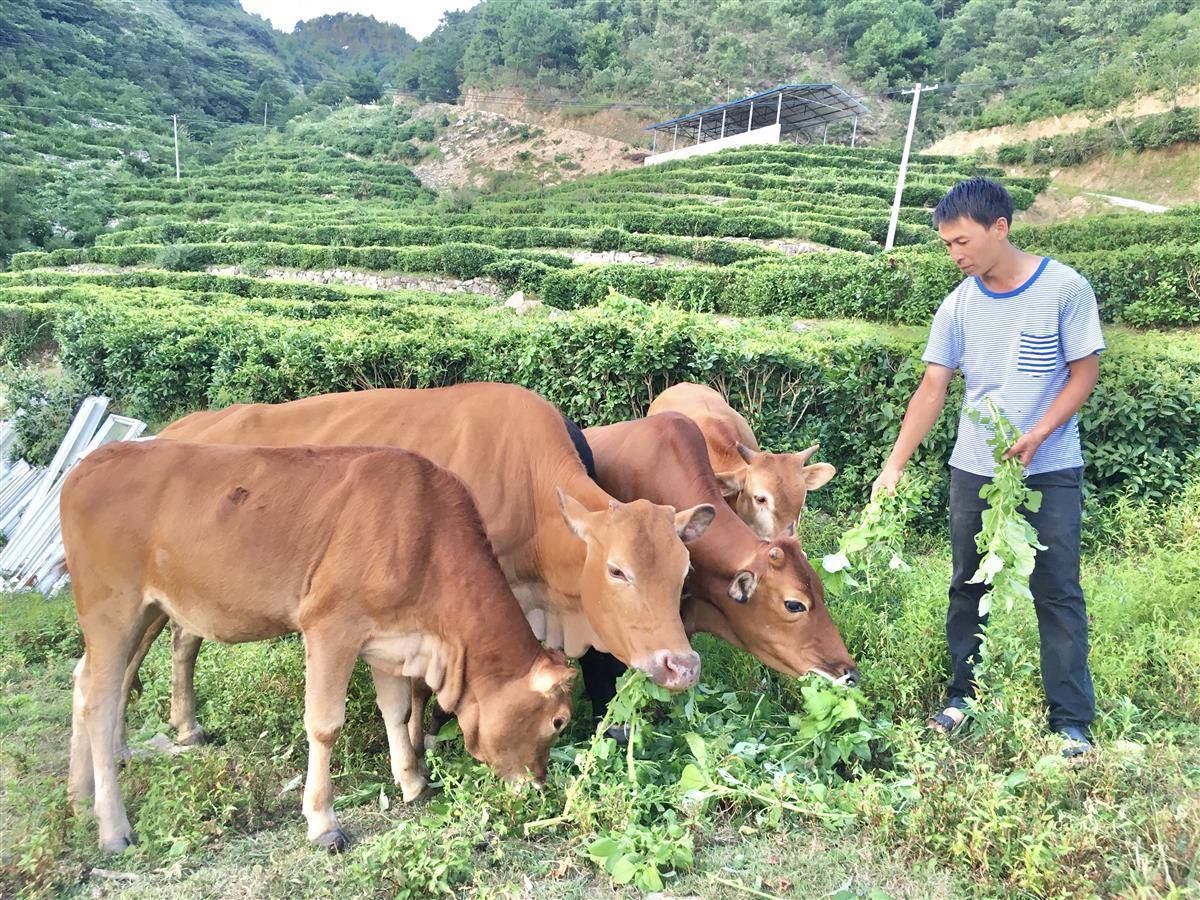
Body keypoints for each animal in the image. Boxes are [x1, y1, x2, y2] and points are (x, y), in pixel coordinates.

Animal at [150, 384, 710, 748]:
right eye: (617, 571)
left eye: (683, 573)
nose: (682, 666)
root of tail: (180, 425)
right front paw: (427, 741)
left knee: (184, 640)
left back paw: (187, 726)